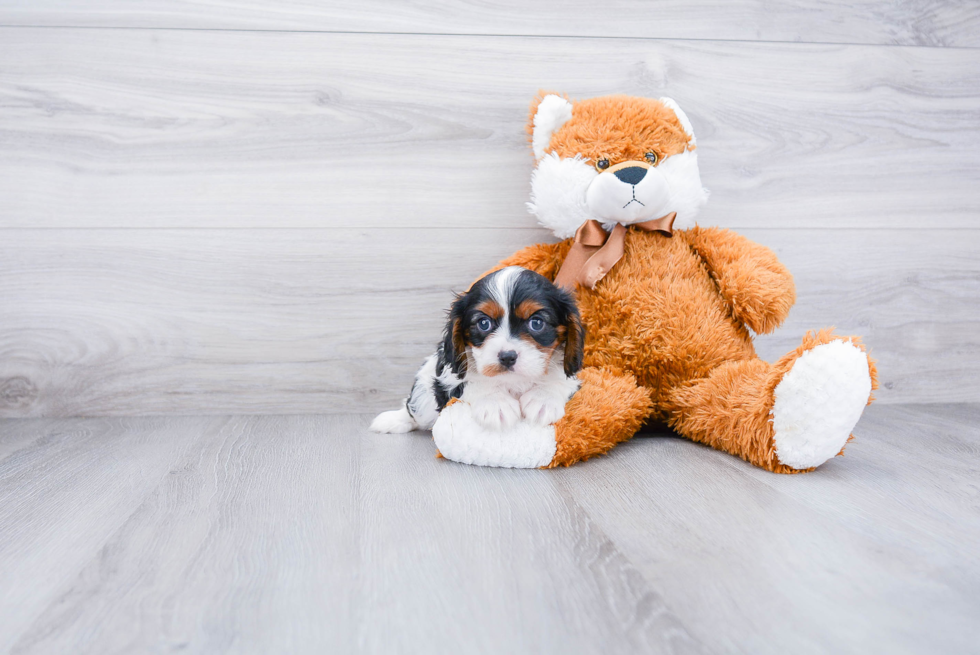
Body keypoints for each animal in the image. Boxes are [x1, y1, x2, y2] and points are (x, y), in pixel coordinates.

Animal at [368, 266, 580, 436]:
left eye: (537, 323)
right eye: (483, 323)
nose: (507, 357)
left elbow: (560, 379)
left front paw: (543, 399)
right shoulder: (451, 373)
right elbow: (472, 382)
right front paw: (496, 403)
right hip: (423, 390)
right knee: (414, 408)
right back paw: (393, 420)